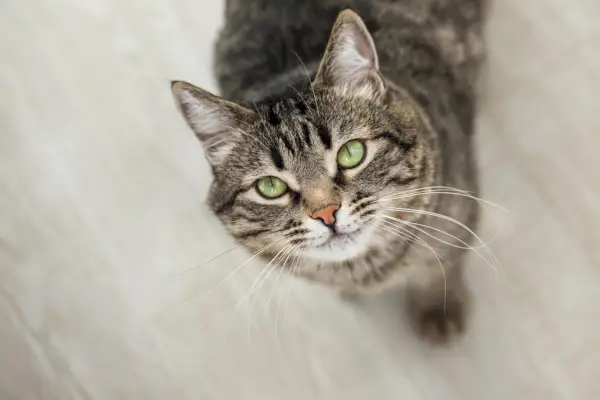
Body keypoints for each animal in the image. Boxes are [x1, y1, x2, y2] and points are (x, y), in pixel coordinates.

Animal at [170, 0, 488, 344]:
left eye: (351, 153)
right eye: (270, 187)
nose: (326, 213)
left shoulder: (461, 207)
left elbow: (442, 264)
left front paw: (438, 308)